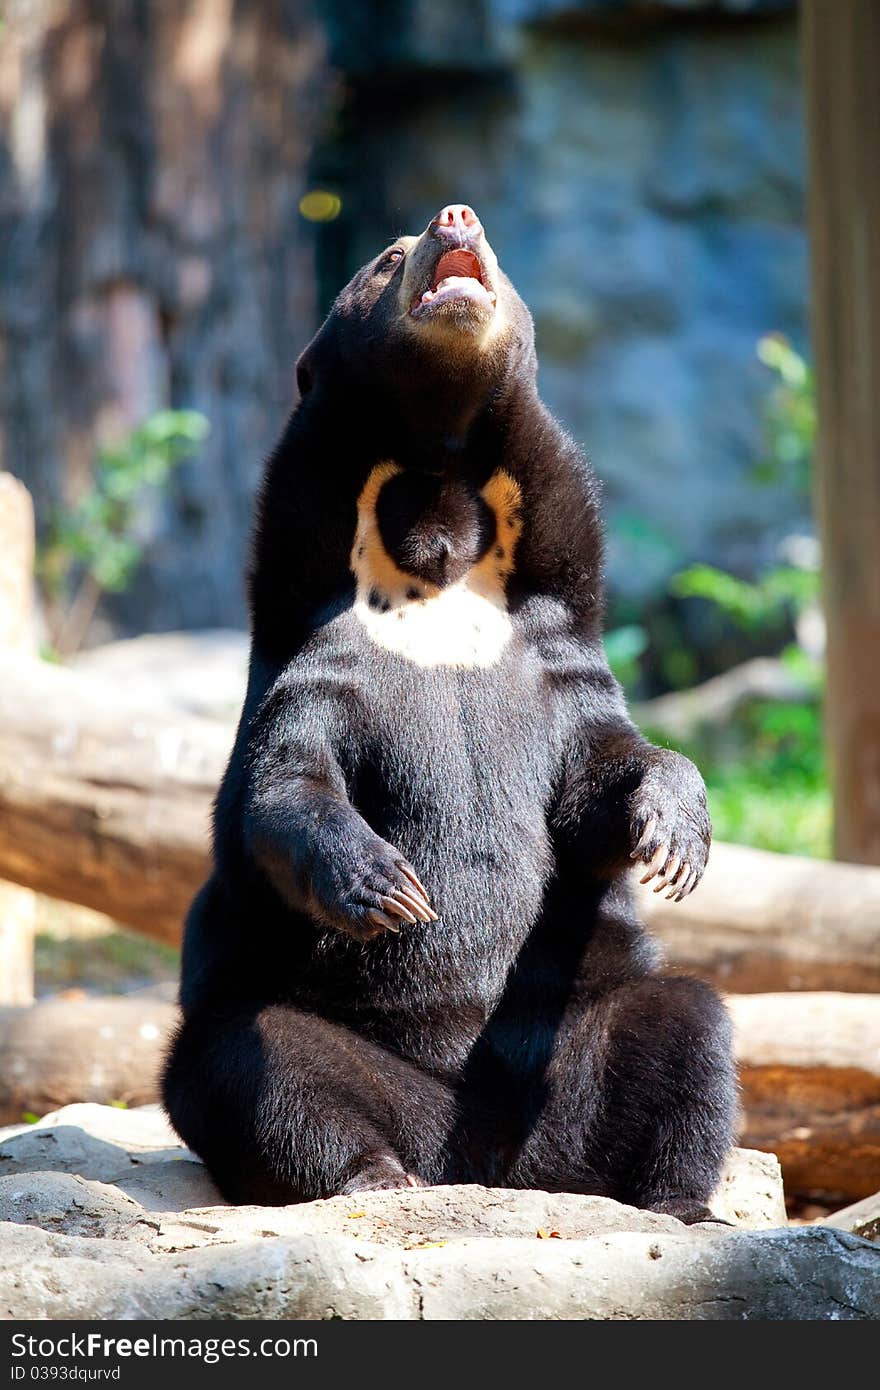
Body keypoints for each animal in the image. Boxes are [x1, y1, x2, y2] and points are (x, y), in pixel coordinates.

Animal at [163, 201, 734, 1223]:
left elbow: (603, 770)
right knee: (252, 1065)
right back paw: (373, 1177)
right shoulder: (318, 660)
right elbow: (283, 784)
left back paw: (676, 1204)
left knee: (688, 1026)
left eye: (491, 244)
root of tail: (490, 1161)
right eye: (389, 256)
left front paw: (673, 839)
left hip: (574, 1041)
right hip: (314, 1048)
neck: (436, 511)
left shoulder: (554, 654)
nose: (455, 215)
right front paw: (390, 885)